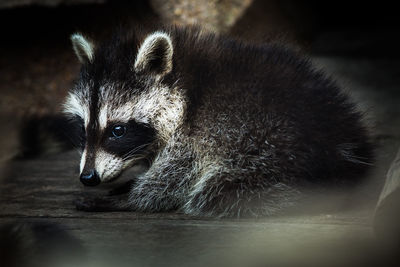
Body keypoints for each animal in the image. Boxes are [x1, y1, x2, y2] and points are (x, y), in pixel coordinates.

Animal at [64, 25, 374, 218]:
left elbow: (169, 181)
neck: (184, 84)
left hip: (269, 152)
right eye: (82, 128)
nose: (88, 178)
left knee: (215, 190)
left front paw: (127, 199)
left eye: (118, 130)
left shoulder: (199, 132)